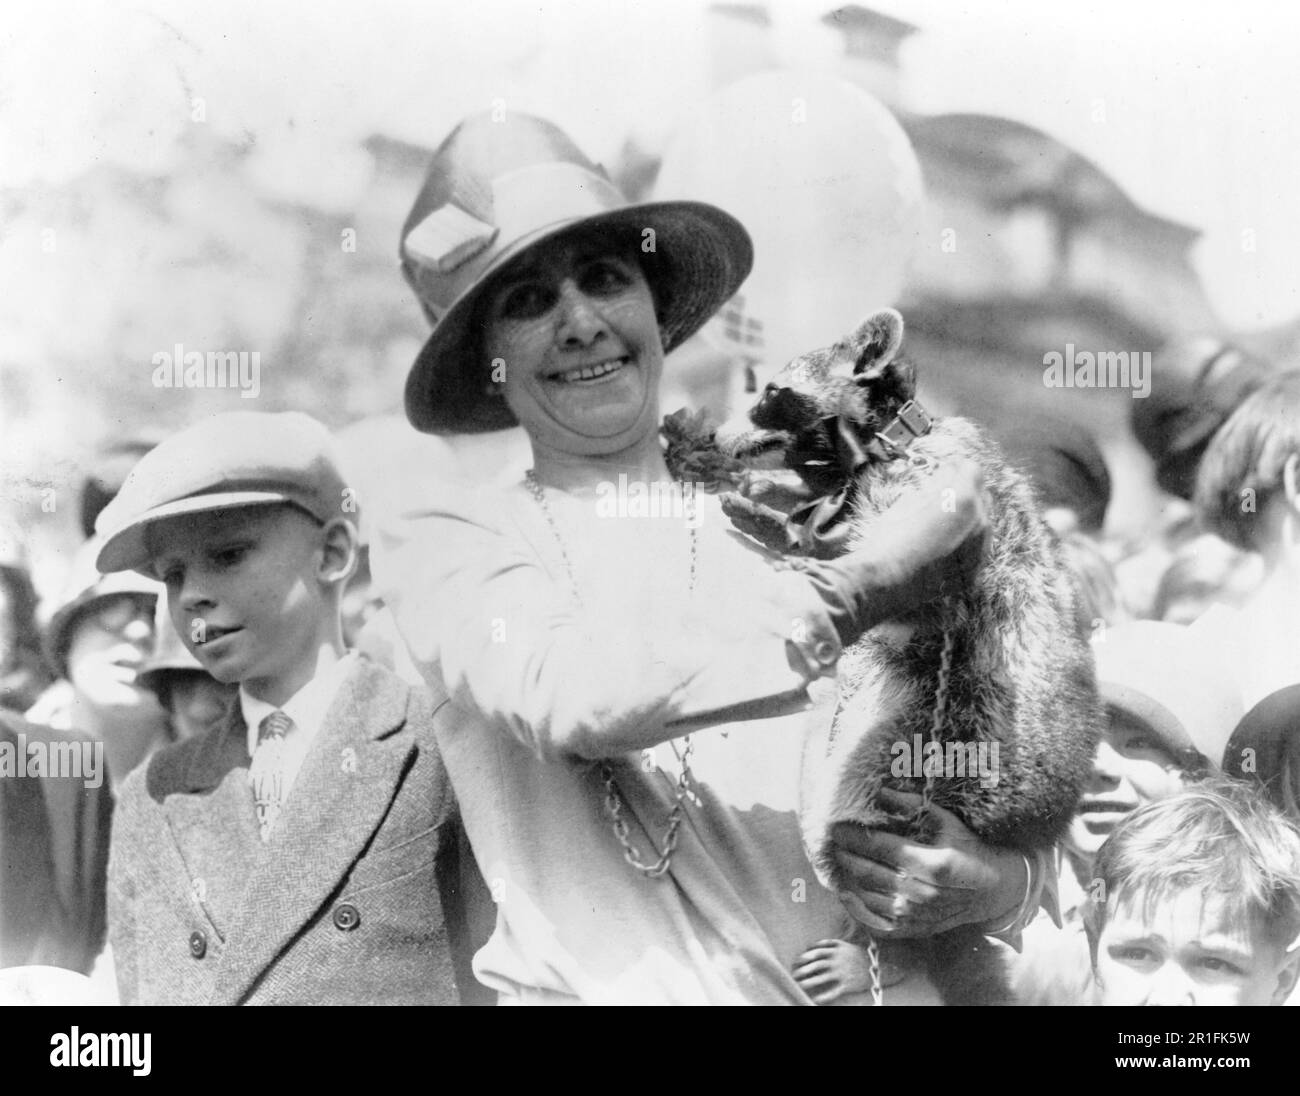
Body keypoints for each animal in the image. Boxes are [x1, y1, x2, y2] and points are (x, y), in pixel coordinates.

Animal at [717, 306, 1102, 1003]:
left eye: (771, 393)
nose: (716, 433)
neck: (883, 438)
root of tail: (1033, 824)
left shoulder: (937, 505)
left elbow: (900, 581)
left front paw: (785, 525)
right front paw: (780, 500)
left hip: (937, 755)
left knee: (849, 800)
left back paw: (895, 950)